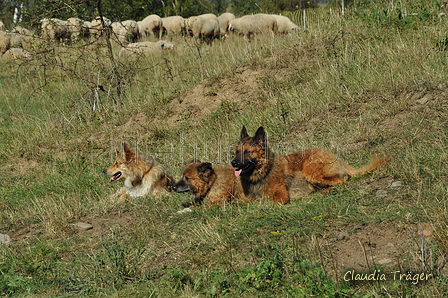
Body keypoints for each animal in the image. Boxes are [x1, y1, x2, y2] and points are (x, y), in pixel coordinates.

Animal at [231, 125, 384, 205]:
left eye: (247, 152)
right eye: (236, 152)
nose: (233, 163)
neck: (262, 173)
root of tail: (340, 160)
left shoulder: (281, 197)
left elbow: (262, 200)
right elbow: (246, 201)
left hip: (310, 169)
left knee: (341, 182)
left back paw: (327, 192)